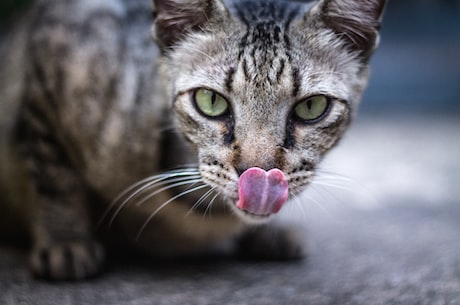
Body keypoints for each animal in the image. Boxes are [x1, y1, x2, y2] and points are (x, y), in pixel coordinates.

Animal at [0, 0, 386, 280]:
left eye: (311, 107)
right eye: (210, 101)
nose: (259, 174)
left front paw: (269, 234)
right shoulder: (51, 60)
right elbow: (54, 177)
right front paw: (66, 241)